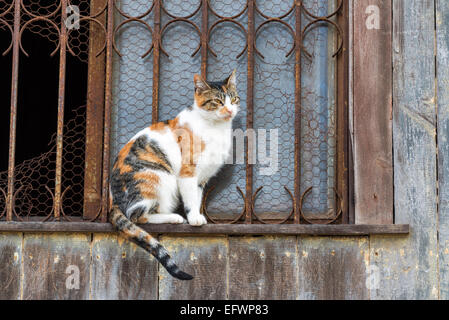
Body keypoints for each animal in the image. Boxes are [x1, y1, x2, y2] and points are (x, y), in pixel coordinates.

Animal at [109, 70, 240, 280]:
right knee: (138, 216)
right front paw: (193, 218)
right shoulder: (187, 172)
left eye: (234, 99)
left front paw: (197, 215)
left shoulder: (201, 179)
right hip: (159, 177)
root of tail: (113, 201)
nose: (230, 110)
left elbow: (197, 196)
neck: (215, 128)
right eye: (217, 101)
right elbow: (190, 198)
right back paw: (174, 218)